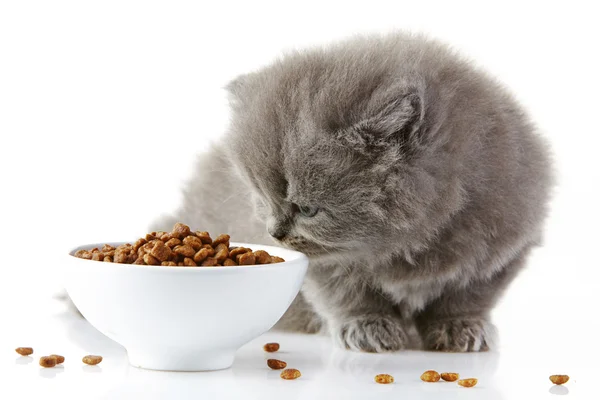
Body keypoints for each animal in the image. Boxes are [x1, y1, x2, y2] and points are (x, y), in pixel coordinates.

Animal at [152, 32, 552, 352]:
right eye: (262, 200)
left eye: (308, 209)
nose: (274, 233)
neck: (408, 247)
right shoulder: (325, 265)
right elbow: (348, 293)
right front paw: (367, 328)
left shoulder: (501, 249)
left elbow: (467, 296)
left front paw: (460, 328)